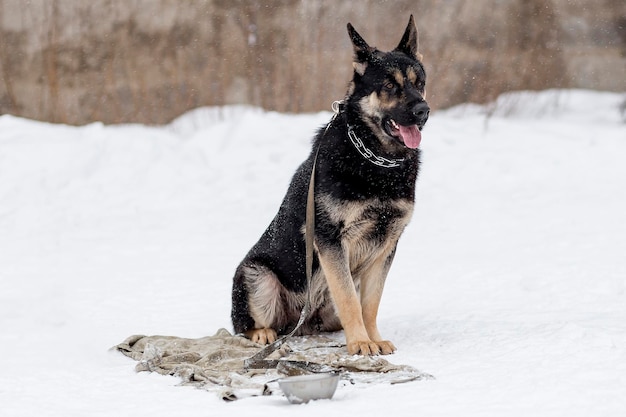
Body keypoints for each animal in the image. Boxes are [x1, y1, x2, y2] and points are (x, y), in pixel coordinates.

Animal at [230, 15, 428, 354]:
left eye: (420, 83)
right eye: (389, 86)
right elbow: (348, 298)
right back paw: (262, 334)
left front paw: (372, 338)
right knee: (248, 325)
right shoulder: (332, 241)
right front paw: (361, 343)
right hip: (258, 275)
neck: (373, 159)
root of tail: (301, 324)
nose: (423, 112)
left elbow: (369, 304)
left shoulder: (386, 245)